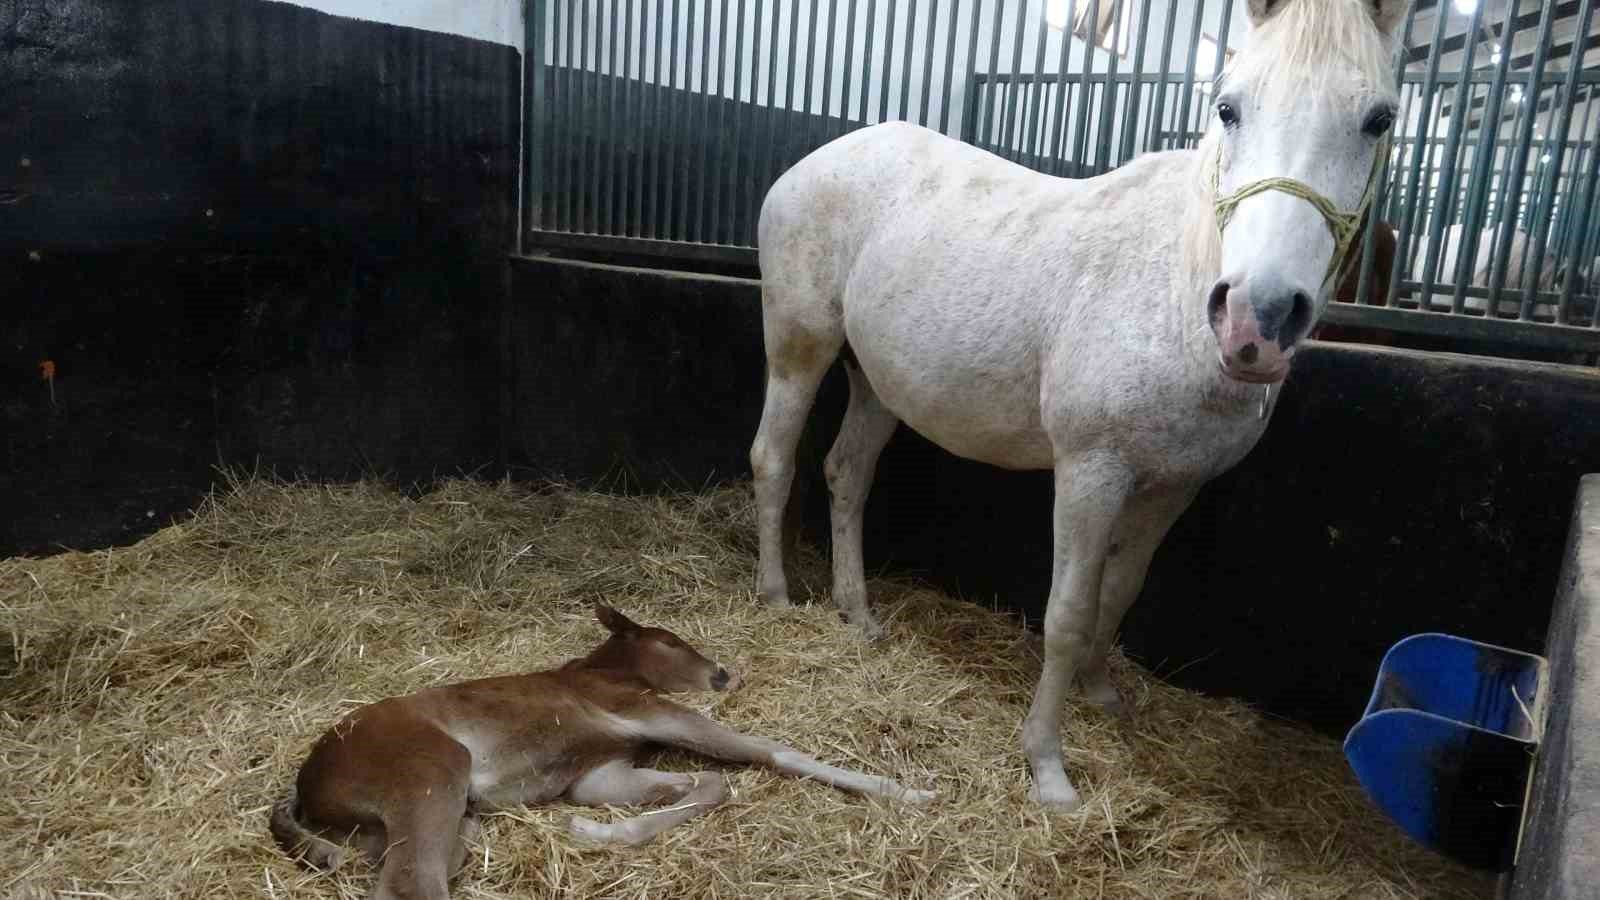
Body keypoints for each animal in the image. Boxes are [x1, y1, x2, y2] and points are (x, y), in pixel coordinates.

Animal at [268, 602, 934, 896]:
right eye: (670, 640)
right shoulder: (648, 710)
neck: (599, 673)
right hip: (430, 771)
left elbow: (699, 785)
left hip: (399, 822)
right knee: (411, 882)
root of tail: (308, 785)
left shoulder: (597, 771)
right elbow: (765, 754)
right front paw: (907, 791)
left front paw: (591, 833)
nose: (724, 673)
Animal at [748, 0, 1414, 813]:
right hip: (800, 347)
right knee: (775, 458)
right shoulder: (1092, 472)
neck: (1173, 289)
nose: (1256, 319)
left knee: (847, 475)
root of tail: (815, 161)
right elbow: (1066, 612)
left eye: (1378, 119)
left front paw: (1103, 696)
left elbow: (1120, 591)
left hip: (879, 382)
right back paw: (777, 595)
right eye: (1228, 106)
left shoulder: (1173, 486)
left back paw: (859, 614)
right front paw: (1047, 767)